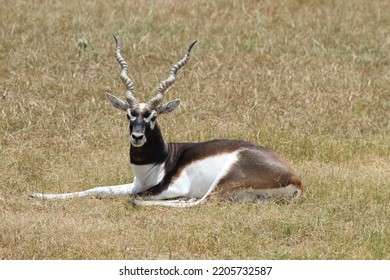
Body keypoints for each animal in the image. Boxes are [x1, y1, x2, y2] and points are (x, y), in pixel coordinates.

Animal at [31, 36, 304, 208]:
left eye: (153, 116)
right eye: (129, 114)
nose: (137, 137)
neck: (159, 160)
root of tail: (296, 179)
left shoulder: (167, 187)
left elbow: (134, 196)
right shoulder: (135, 184)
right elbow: (96, 189)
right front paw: (37, 193)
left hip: (226, 177)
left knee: (197, 202)